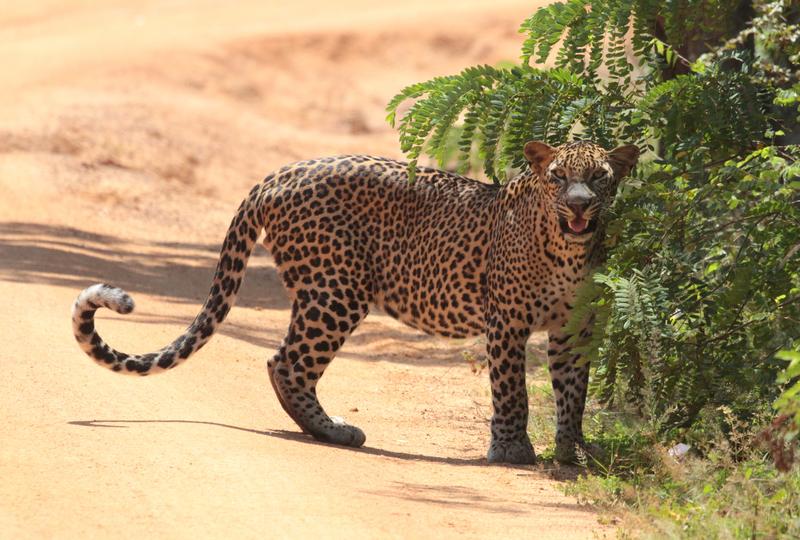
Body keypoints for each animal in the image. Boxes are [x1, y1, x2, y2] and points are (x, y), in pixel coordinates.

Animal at [72, 138, 640, 464]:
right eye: (558, 177)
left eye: (599, 178)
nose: (579, 205)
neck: (567, 248)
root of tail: (279, 173)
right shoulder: (506, 321)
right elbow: (512, 391)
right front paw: (512, 450)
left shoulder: (575, 328)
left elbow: (573, 393)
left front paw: (573, 453)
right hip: (336, 290)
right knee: (286, 363)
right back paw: (332, 432)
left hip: (324, 291)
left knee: (285, 361)